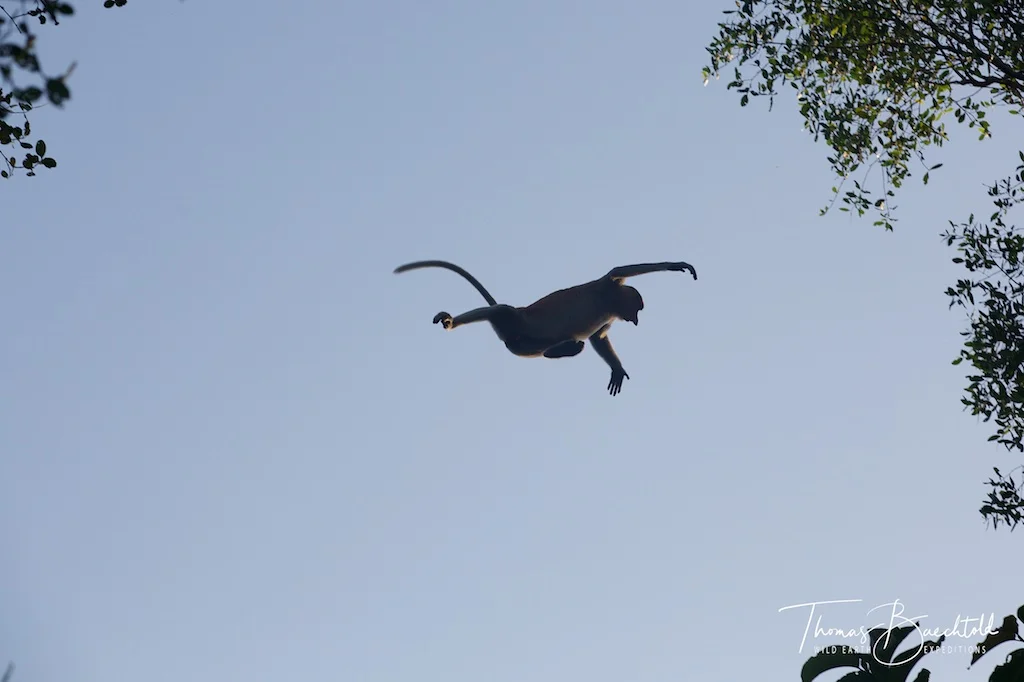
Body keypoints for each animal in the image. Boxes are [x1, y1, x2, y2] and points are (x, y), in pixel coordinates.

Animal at [393, 259, 697, 395]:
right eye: (636, 310)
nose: (635, 321)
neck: (610, 302)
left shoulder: (610, 311)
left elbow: (599, 337)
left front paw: (617, 369)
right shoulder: (607, 285)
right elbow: (623, 269)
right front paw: (676, 265)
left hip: (523, 343)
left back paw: (563, 348)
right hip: (516, 324)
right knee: (500, 311)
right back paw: (452, 321)